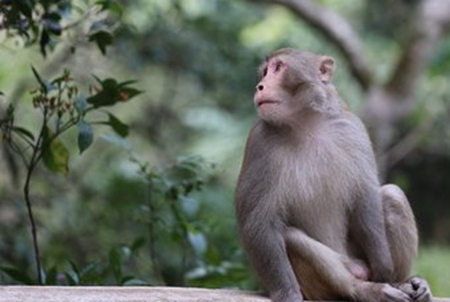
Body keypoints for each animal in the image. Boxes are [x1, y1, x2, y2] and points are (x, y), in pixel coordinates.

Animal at [234, 47, 430, 302]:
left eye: (278, 68)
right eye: (265, 71)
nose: (260, 86)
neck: (307, 124)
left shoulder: (353, 128)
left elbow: (365, 198)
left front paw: (385, 270)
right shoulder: (260, 142)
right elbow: (258, 221)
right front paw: (287, 294)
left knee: (392, 195)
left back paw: (401, 281)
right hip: (331, 277)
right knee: (291, 237)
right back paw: (363, 289)